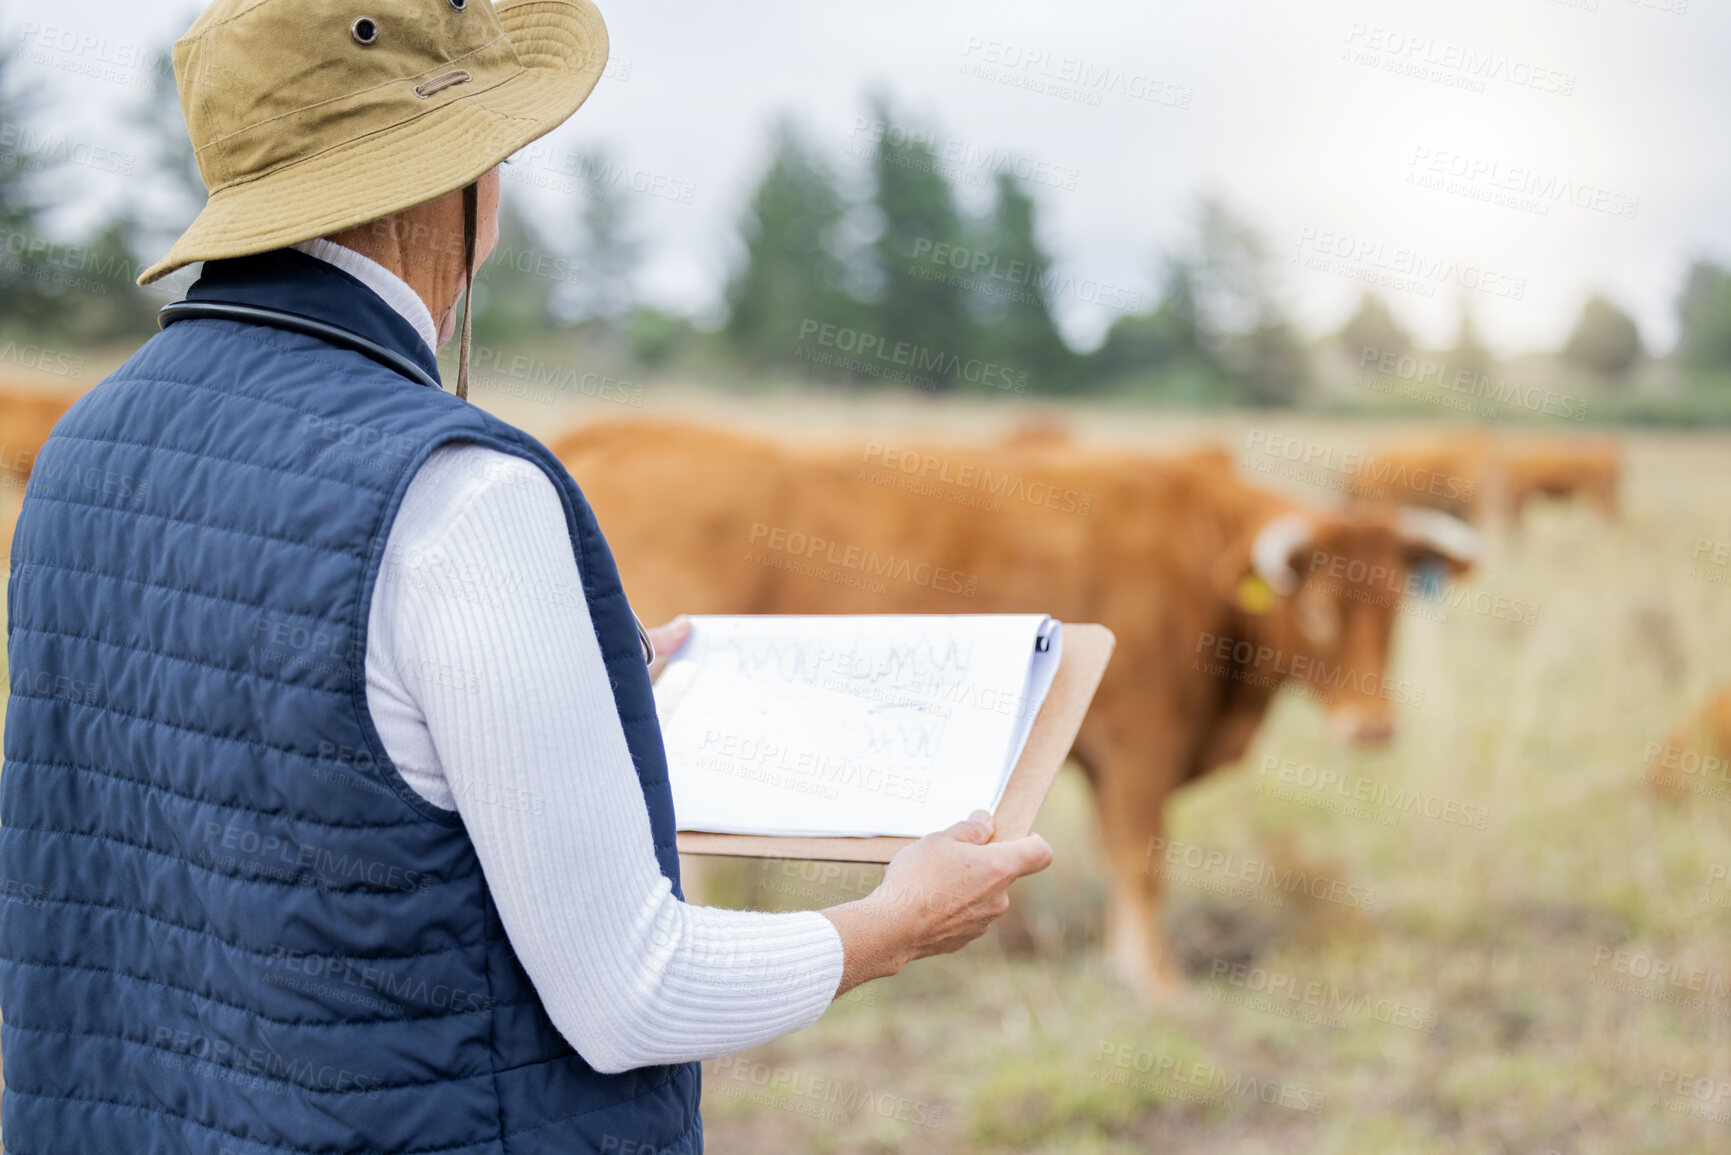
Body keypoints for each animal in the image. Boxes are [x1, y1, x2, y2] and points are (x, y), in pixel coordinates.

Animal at [553, 420, 1474, 997]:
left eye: (1395, 604)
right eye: (1317, 609)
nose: (1372, 727)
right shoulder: (1141, 741)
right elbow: (1141, 859)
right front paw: (1154, 979)